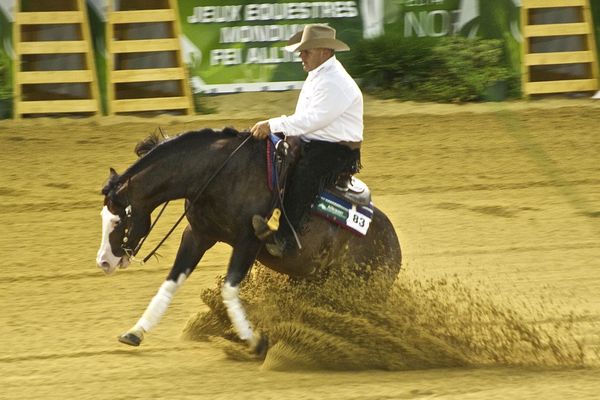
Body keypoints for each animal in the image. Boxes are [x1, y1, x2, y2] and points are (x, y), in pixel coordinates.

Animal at [96, 127, 400, 354]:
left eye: (118, 221)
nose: (103, 262)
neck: (218, 172)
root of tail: (393, 247)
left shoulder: (248, 242)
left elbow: (229, 290)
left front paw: (255, 341)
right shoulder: (197, 234)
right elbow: (170, 283)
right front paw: (135, 331)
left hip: (354, 289)